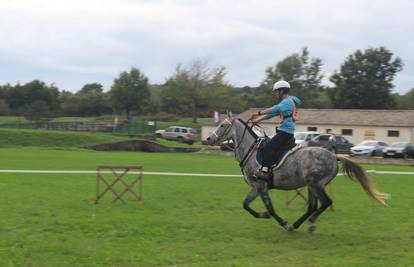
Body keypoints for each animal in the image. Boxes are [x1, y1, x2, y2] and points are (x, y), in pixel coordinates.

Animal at [205, 116, 390, 232]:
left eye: (223, 125)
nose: (208, 139)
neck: (250, 151)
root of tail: (334, 155)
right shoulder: (255, 187)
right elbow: (245, 205)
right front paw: (264, 215)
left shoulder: (261, 186)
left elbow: (270, 208)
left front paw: (281, 222)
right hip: (311, 186)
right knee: (312, 207)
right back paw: (300, 224)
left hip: (315, 184)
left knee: (326, 202)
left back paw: (307, 224)